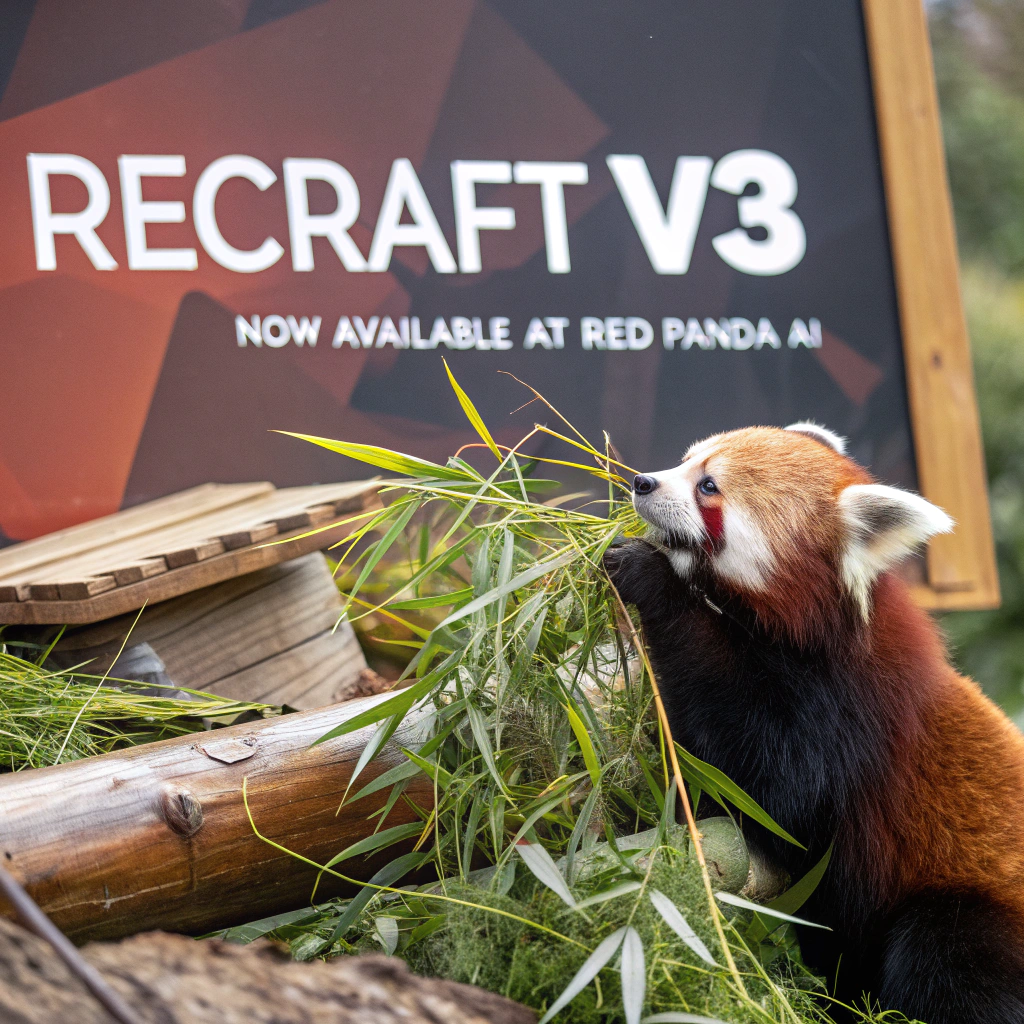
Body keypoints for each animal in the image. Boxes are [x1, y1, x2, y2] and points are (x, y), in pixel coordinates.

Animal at [603, 422, 1024, 1024]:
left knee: (943, 960)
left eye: (708, 486)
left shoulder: (852, 714)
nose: (641, 481)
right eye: (684, 460)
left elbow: (776, 790)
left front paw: (653, 579)